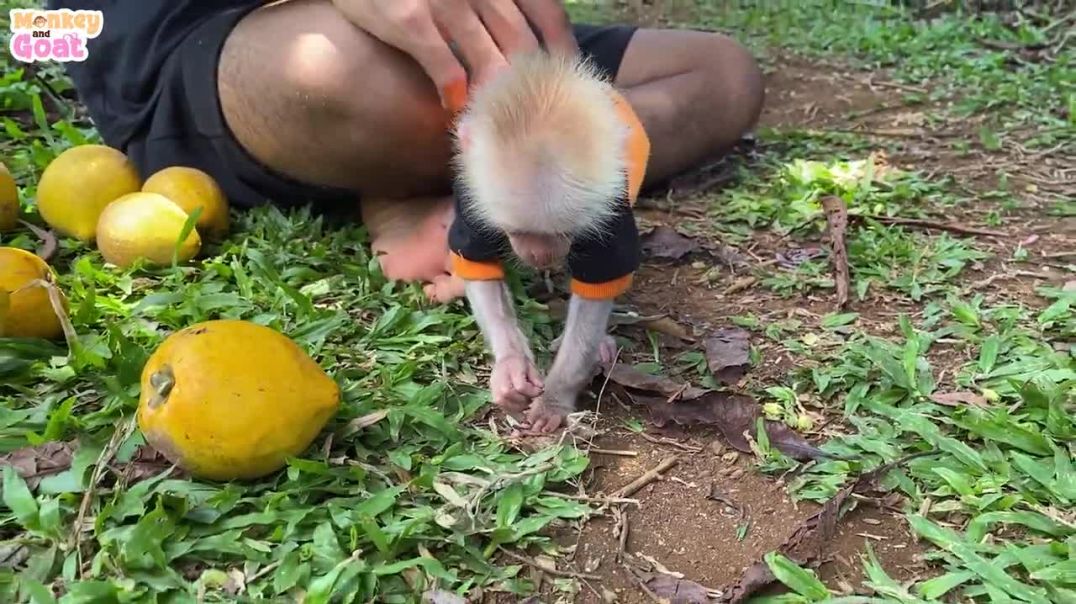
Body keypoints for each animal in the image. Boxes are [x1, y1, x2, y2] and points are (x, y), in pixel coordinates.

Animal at [447, 50, 650, 434]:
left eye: (560, 233)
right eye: (516, 231)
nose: (540, 256)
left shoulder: (609, 209)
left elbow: (599, 285)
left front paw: (557, 395)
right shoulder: (472, 198)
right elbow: (475, 262)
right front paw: (511, 366)